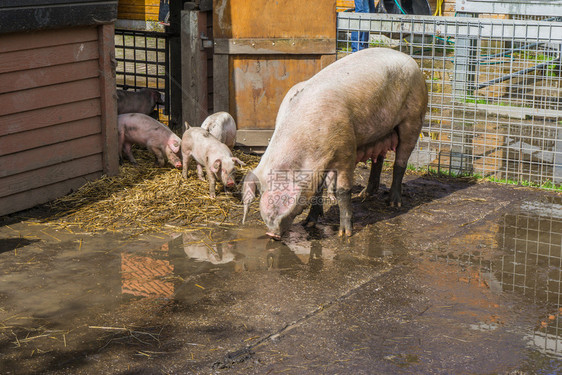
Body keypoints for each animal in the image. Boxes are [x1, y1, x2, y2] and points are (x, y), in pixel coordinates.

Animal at [240, 47, 424, 241]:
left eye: (283, 192)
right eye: (264, 190)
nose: (271, 233)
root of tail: (410, 60)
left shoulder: (346, 150)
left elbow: (343, 191)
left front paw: (345, 234)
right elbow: (317, 191)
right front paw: (309, 224)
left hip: (413, 117)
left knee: (400, 162)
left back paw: (393, 203)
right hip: (380, 131)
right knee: (378, 159)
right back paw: (366, 194)